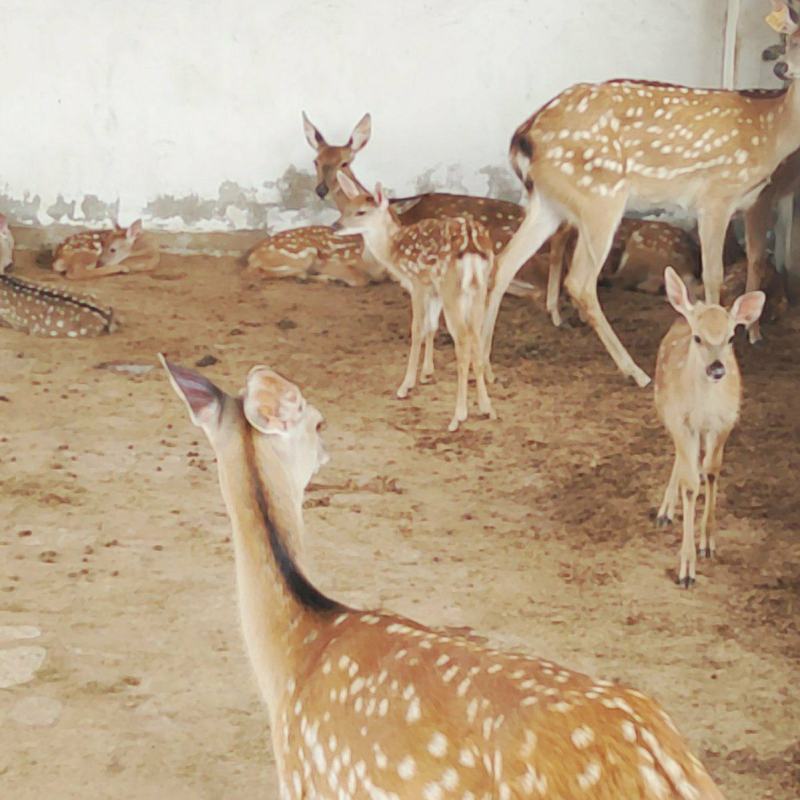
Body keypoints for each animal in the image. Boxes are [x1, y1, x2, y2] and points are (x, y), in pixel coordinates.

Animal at [333, 172, 496, 432]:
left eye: (361, 212)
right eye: (346, 207)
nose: (335, 226)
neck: (392, 251)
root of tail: (472, 247)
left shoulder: (418, 283)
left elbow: (417, 329)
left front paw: (405, 385)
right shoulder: (433, 289)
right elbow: (431, 327)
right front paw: (427, 373)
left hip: (452, 288)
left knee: (463, 339)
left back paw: (458, 416)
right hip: (478, 288)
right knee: (477, 336)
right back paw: (487, 408)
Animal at [484, 1, 800, 388]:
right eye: (790, 36)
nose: (782, 67)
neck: (771, 133)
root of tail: (525, 135)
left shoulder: (748, 200)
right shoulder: (718, 194)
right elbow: (716, 274)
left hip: (548, 202)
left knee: (504, 263)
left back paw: (485, 368)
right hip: (600, 196)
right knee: (581, 281)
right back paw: (635, 371)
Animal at [654, 267, 765, 588]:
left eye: (730, 337)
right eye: (698, 338)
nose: (717, 369)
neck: (705, 408)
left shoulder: (725, 421)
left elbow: (712, 471)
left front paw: (708, 542)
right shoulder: (681, 421)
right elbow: (691, 485)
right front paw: (686, 569)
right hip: (666, 410)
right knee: (681, 462)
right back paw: (665, 511)